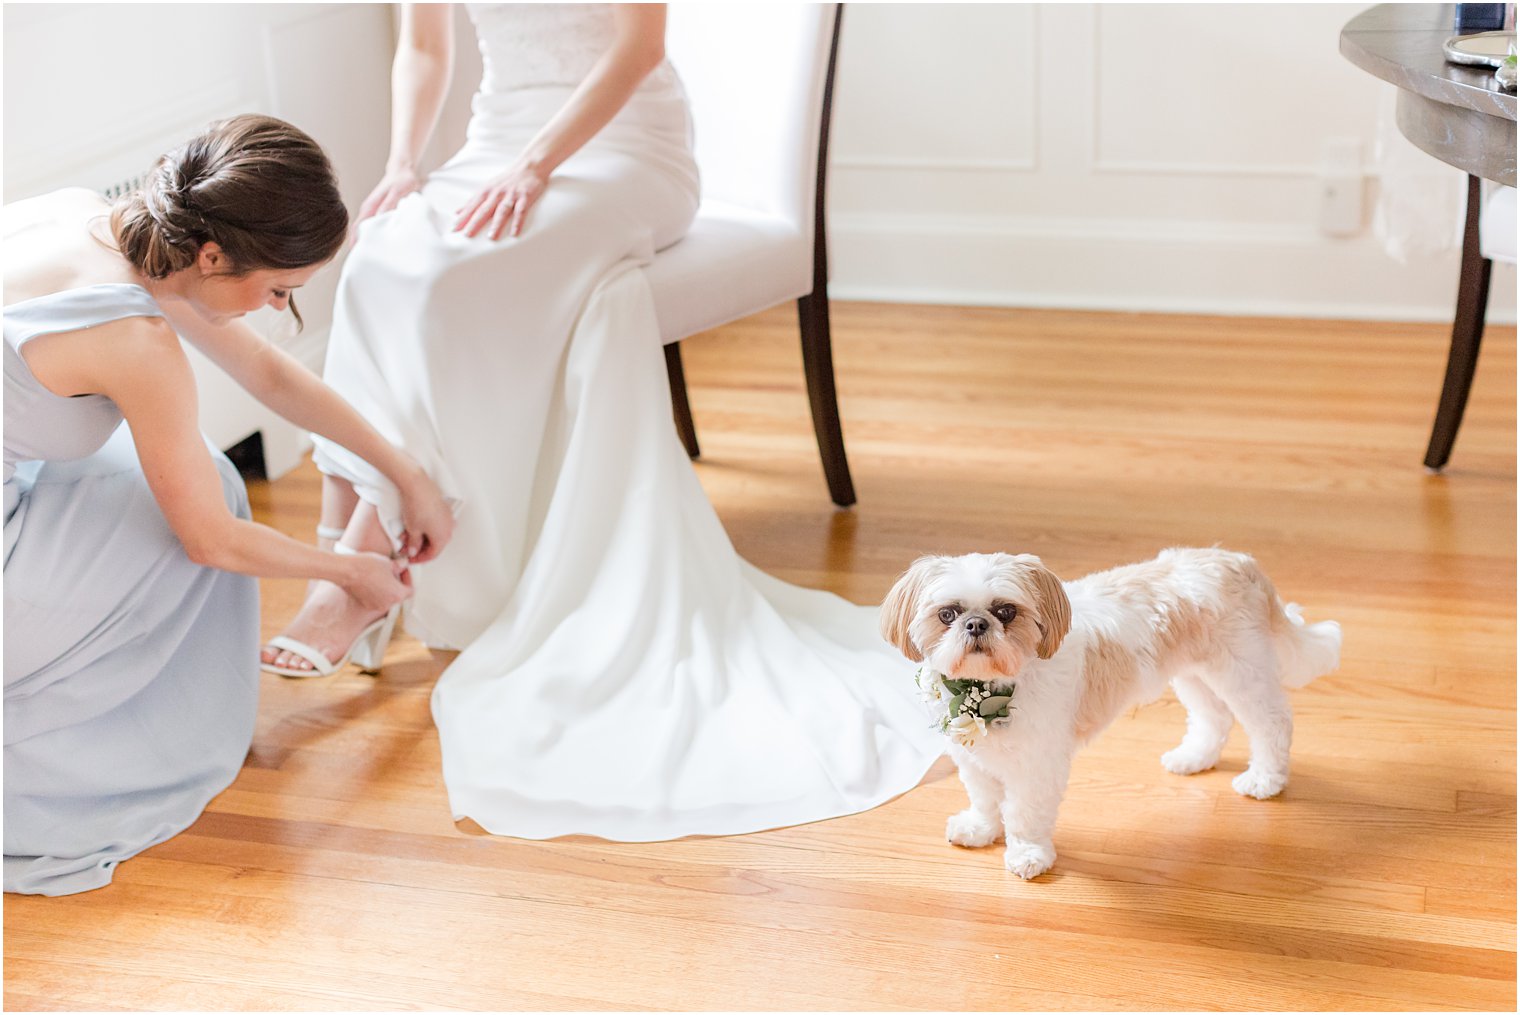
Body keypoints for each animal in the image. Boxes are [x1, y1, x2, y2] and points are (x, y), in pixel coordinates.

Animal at [881, 547, 1343, 881]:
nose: (976, 625)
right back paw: (1194, 757)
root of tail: (1237, 561)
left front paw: (1029, 854)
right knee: (1213, 717)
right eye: (948, 614)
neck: (986, 690)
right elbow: (983, 797)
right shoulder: (973, 756)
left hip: (1240, 669)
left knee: (1272, 722)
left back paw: (1265, 780)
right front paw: (980, 829)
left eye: (1005, 611)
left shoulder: (1038, 765)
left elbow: (1026, 812)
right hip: (1193, 673)